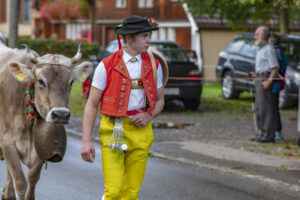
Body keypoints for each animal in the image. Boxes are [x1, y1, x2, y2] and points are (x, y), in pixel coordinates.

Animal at [0, 44, 92, 200]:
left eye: (71, 82)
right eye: (41, 81)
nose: (61, 114)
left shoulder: (41, 145)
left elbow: (32, 177)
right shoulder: (7, 142)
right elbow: (20, 181)